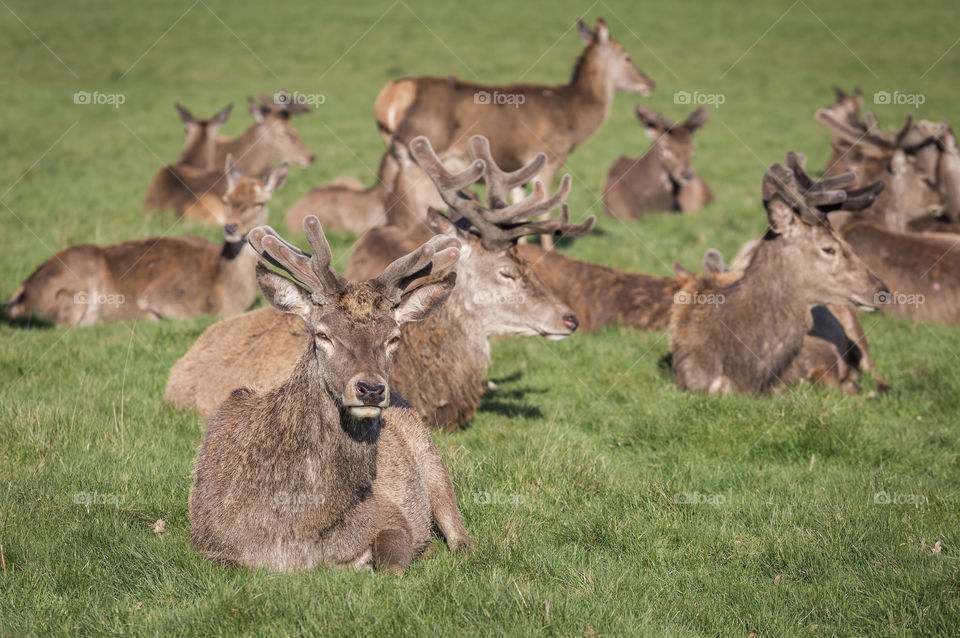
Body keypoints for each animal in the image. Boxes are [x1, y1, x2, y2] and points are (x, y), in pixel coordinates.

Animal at [7, 162, 286, 328]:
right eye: (226, 199)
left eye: (260, 203)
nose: (230, 227)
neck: (227, 292)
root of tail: (20, 293)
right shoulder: (162, 296)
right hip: (73, 293)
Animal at [189, 219, 470, 576]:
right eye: (323, 334)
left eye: (393, 337)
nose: (371, 389)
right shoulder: (212, 546)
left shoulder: (391, 514)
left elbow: (393, 566)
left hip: (430, 456)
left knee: (458, 530)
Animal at [376, 16, 652, 248]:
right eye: (627, 56)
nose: (650, 83)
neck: (573, 119)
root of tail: (389, 97)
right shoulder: (549, 155)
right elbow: (544, 209)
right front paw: (548, 251)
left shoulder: (516, 167)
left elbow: (518, 210)